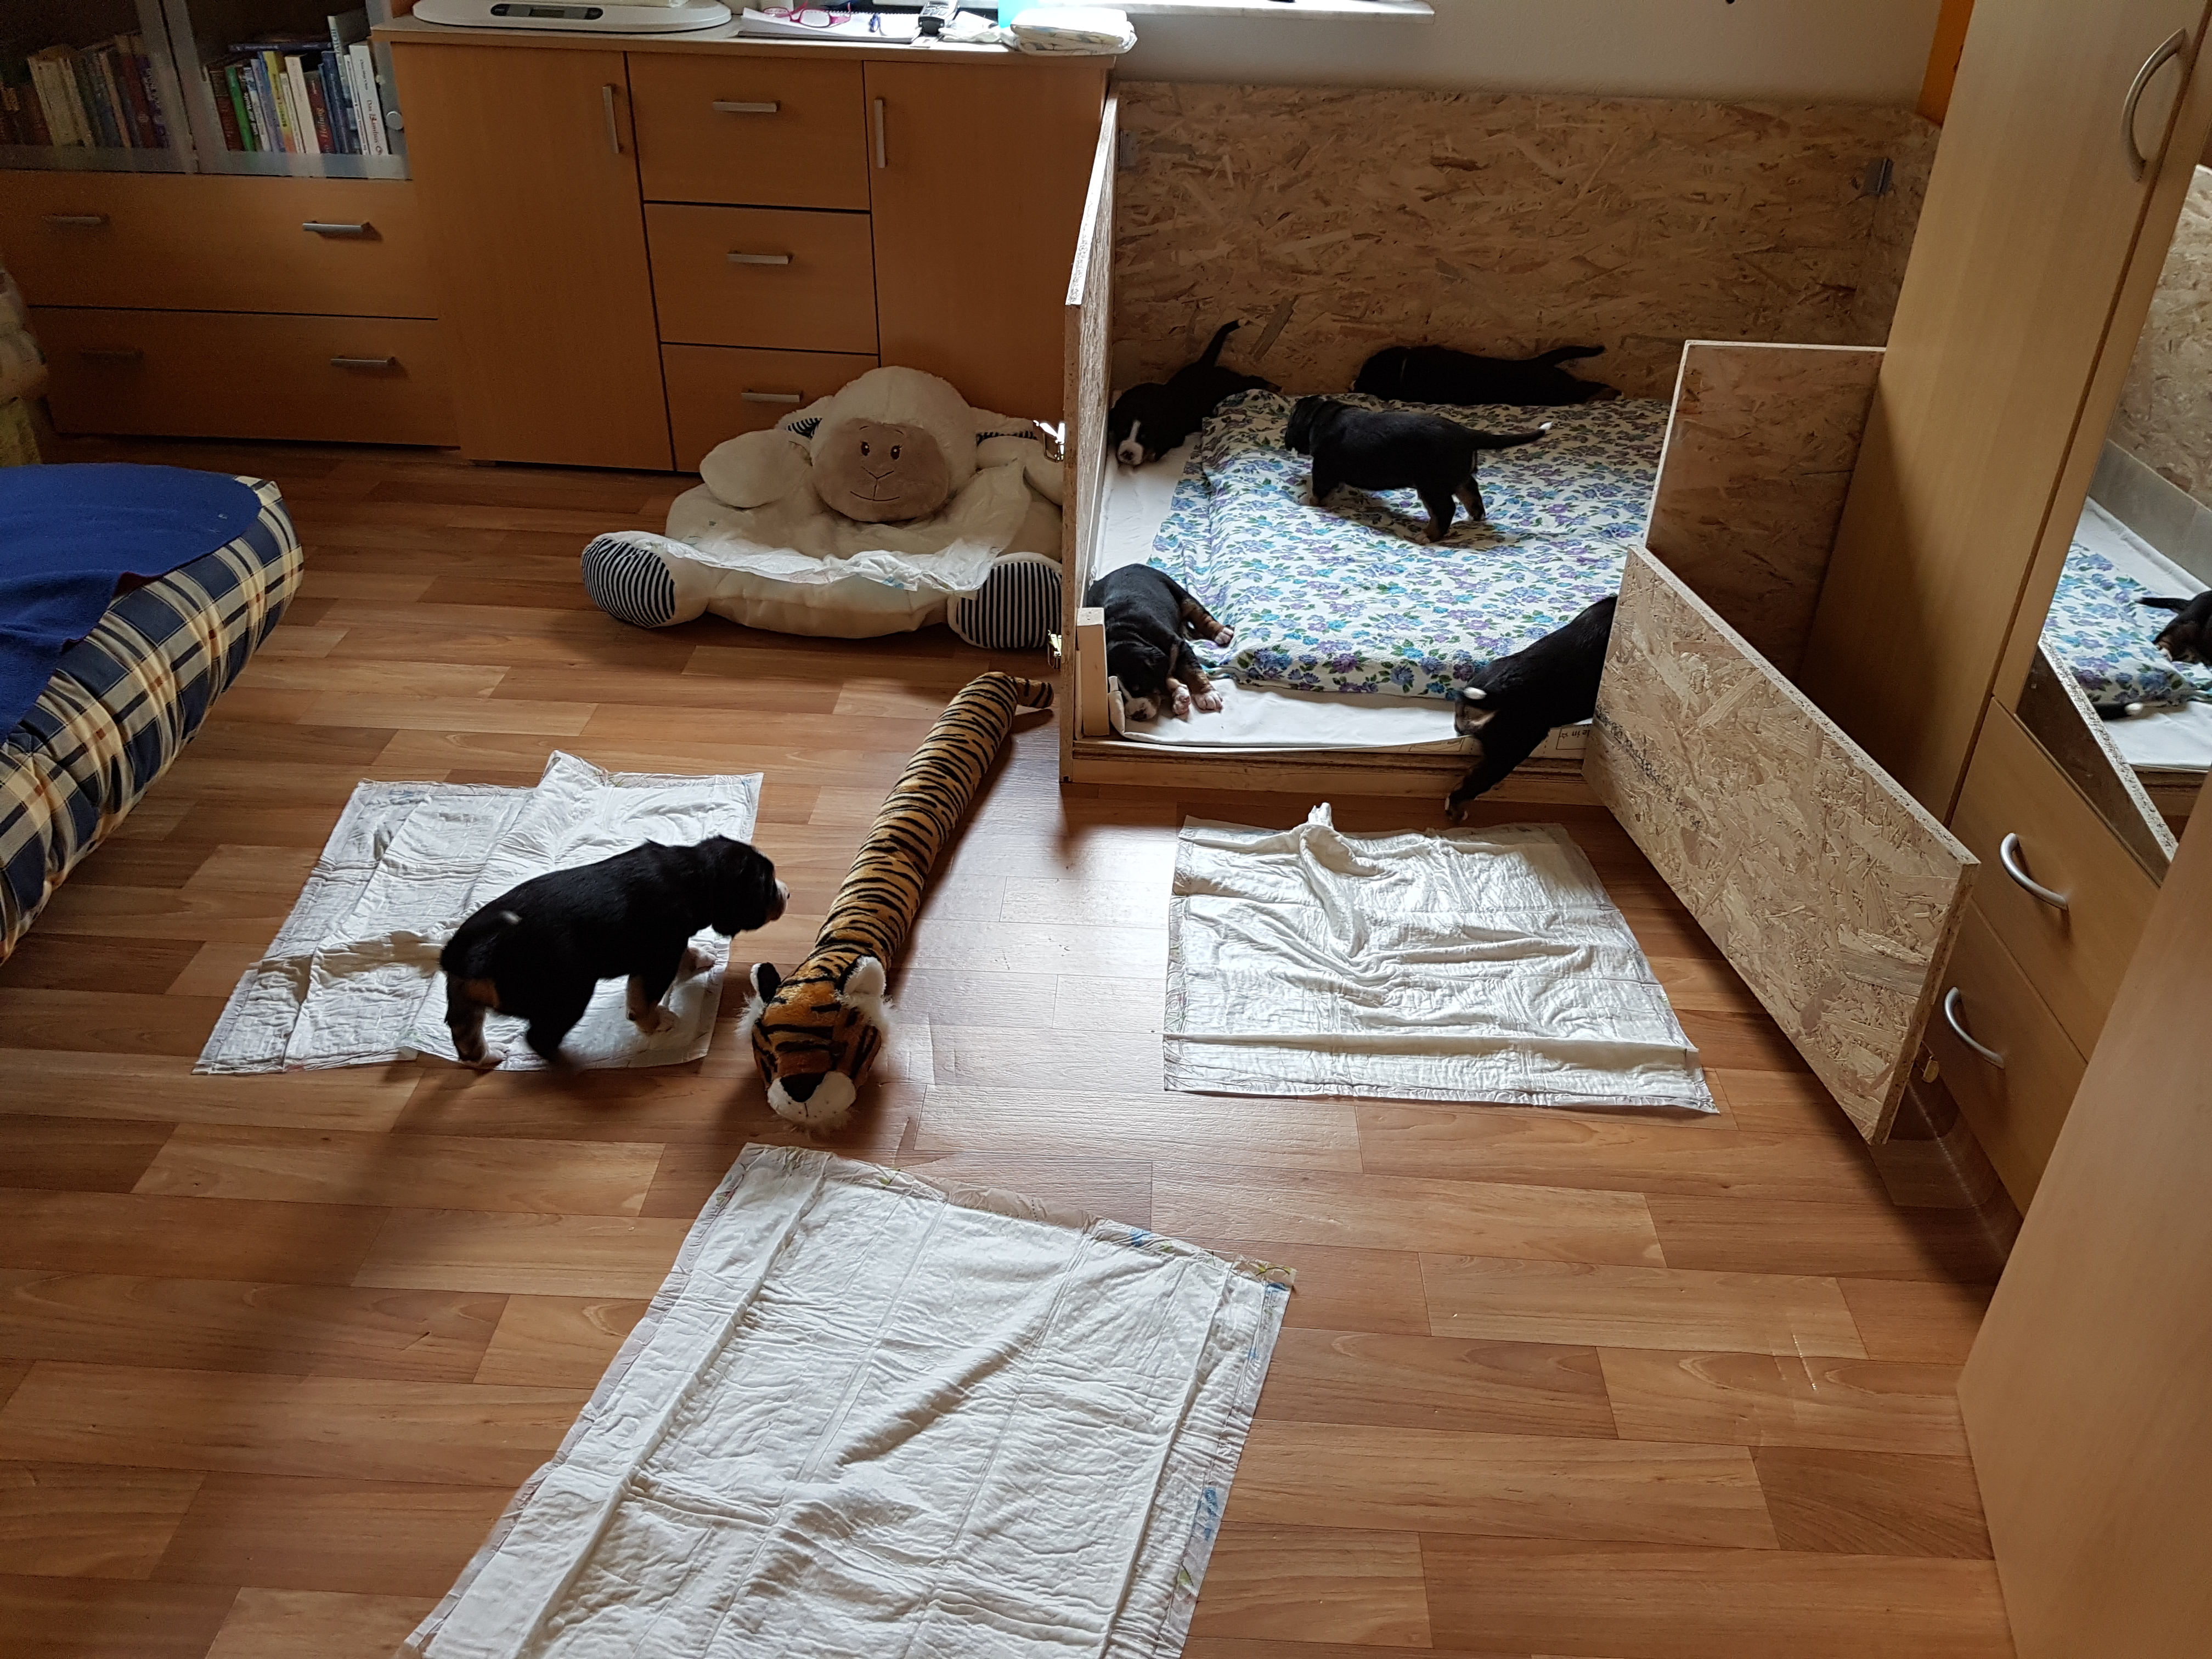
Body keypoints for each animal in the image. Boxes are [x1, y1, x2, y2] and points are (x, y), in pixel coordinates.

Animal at [440, 836, 787, 1069]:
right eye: (768, 886)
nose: (787, 893)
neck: (692, 876)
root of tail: (469, 954)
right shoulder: (659, 956)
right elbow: (643, 996)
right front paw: (655, 1022)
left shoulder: (670, 945)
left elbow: (684, 956)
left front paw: (700, 958)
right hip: (570, 994)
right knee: (540, 1037)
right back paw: (573, 1063)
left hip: (464, 995)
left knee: (465, 1031)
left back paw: (487, 1056)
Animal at [1084, 564, 1235, 721]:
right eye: (1117, 694)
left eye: (1142, 686)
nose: (1138, 715)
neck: (1123, 633)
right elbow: (1165, 677)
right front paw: (1179, 696)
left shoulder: (1178, 645)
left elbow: (1192, 670)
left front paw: (1206, 695)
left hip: (1178, 593)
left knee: (1199, 614)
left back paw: (1222, 633)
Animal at [1108, 321, 1277, 466]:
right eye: (1122, 431)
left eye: (1146, 437)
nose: (1128, 453)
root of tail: (1204, 365)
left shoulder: (1175, 437)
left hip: (1232, 384)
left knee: (1252, 379)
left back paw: (1273, 385)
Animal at [1285, 397, 1550, 542]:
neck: (1323, 417)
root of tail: (1466, 434)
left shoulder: (1323, 467)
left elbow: (1319, 490)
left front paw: (1308, 501)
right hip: (1457, 476)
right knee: (1471, 493)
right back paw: (1475, 517)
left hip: (1431, 485)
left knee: (1445, 510)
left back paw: (1427, 536)